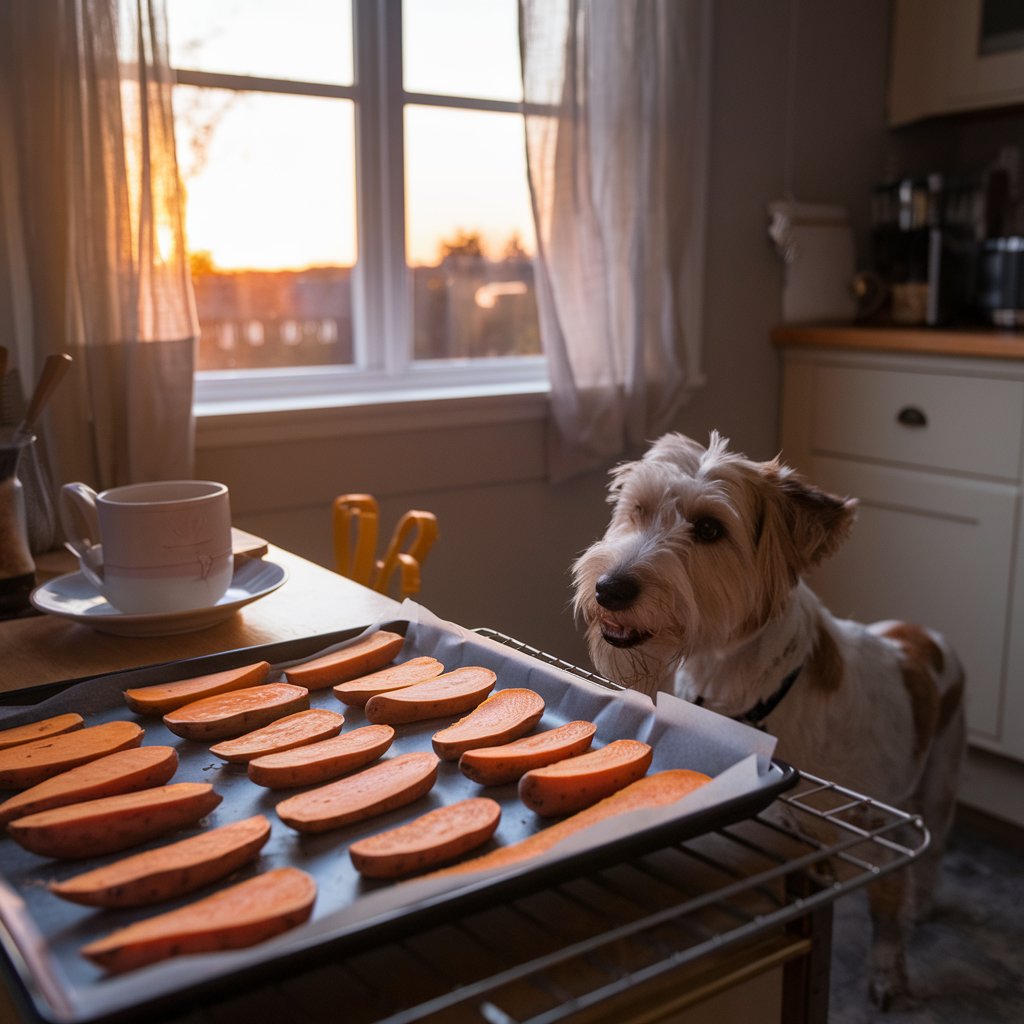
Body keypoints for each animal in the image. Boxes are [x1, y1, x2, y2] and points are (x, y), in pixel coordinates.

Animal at [573, 430, 962, 1007]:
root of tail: (922, 633)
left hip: (941, 775)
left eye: (710, 529)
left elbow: (888, 908)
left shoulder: (878, 822)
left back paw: (926, 904)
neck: (747, 695)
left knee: (934, 852)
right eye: (637, 509)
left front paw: (887, 973)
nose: (609, 589)